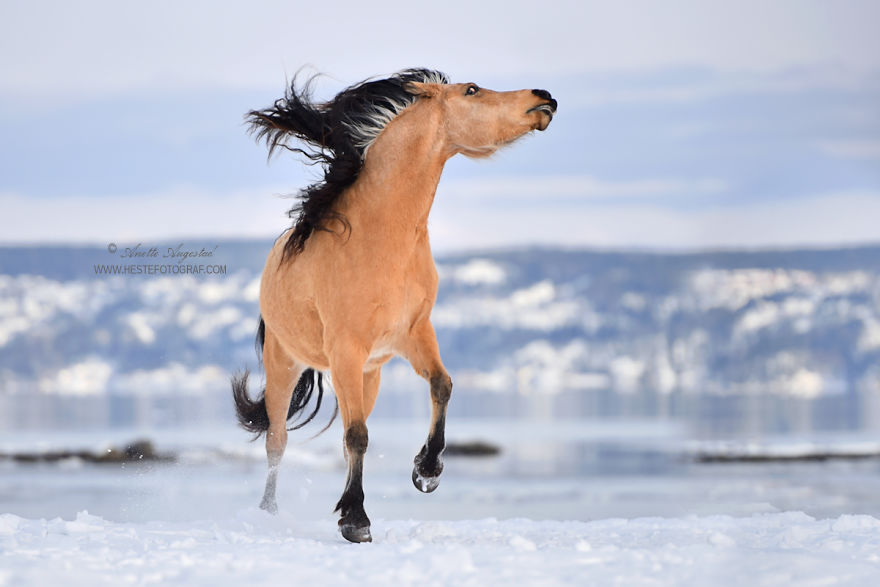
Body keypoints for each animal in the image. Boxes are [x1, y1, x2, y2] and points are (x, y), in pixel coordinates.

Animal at [233, 68, 557, 543]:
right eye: (472, 90)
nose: (545, 97)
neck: (383, 240)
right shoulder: (346, 349)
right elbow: (356, 435)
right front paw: (356, 521)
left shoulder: (412, 333)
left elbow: (441, 386)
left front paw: (426, 472)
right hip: (286, 362)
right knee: (278, 441)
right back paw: (268, 513)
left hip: (369, 375)